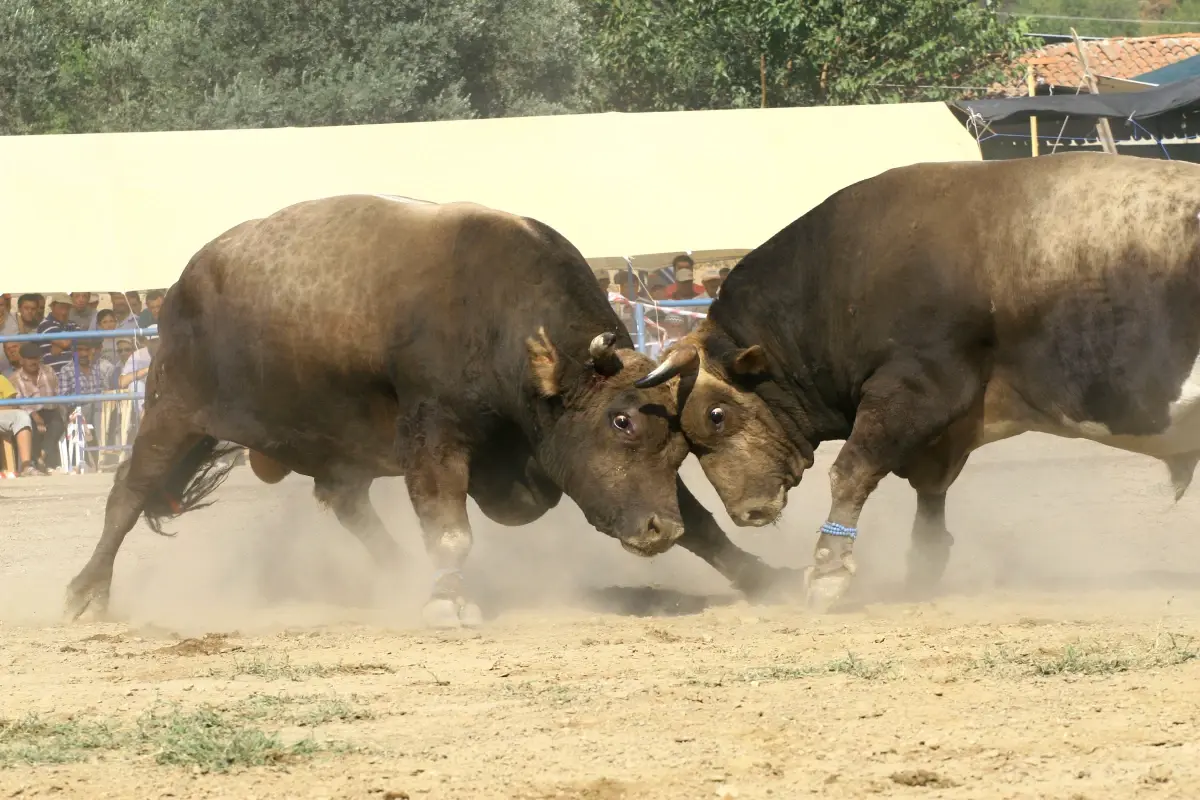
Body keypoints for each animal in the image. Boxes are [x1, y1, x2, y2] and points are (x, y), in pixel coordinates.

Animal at [65, 191, 796, 623]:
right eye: (619, 421)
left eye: (680, 443)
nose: (655, 529)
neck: (499, 322)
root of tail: (189, 278)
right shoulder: (432, 436)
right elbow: (448, 528)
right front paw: (448, 598)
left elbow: (703, 522)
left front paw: (760, 576)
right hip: (173, 411)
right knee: (128, 495)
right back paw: (87, 593)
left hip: (330, 450)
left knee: (347, 506)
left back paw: (393, 576)